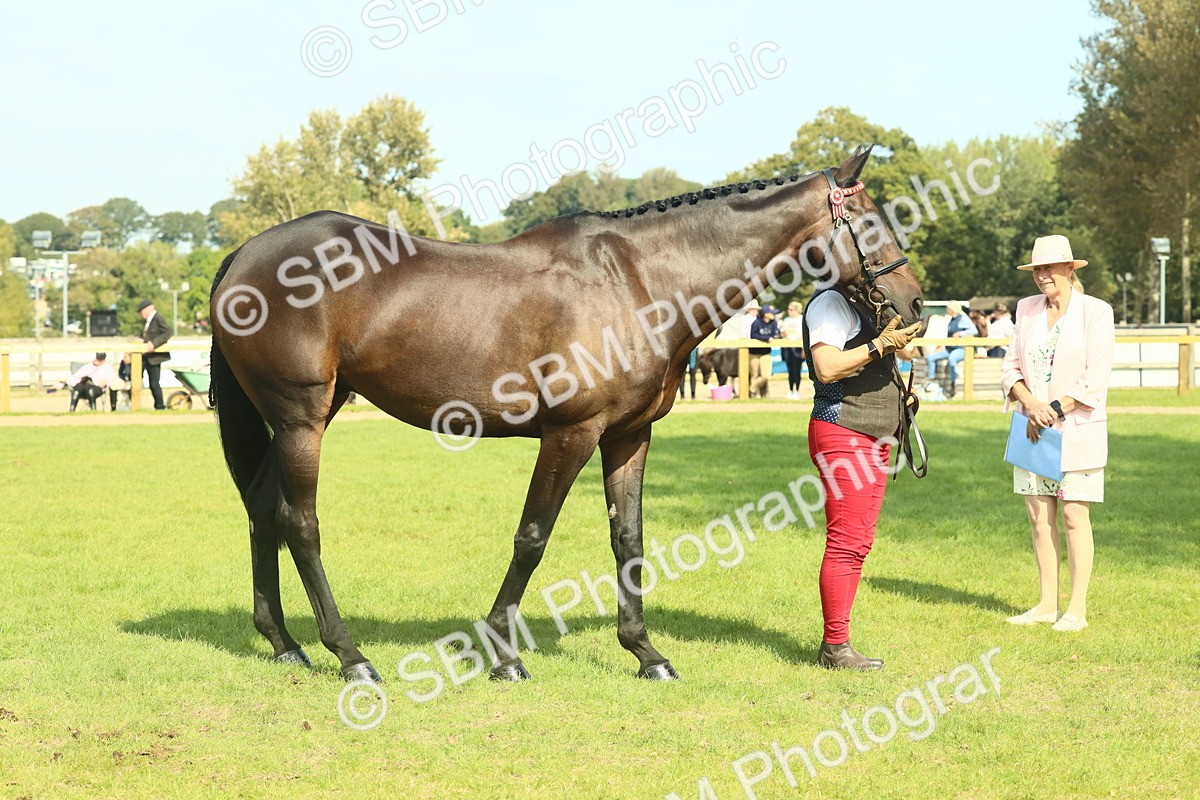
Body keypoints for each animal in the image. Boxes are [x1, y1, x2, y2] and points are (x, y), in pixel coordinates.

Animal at [208, 145, 923, 684]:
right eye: (872, 222)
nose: (915, 306)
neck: (640, 281)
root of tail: (245, 254)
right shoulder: (570, 434)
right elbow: (532, 537)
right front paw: (503, 653)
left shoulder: (630, 436)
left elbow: (628, 539)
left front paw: (646, 653)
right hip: (301, 420)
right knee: (299, 523)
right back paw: (350, 655)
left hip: (307, 416)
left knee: (262, 509)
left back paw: (284, 643)